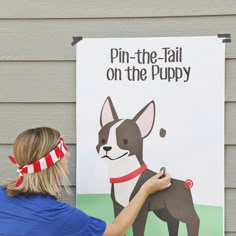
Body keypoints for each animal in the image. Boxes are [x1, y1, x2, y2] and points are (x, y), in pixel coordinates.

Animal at [97, 96, 200, 236]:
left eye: (125, 141)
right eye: (102, 140)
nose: (106, 147)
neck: (124, 173)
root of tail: (185, 183)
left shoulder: (140, 211)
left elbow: (138, 230)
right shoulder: (118, 207)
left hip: (180, 208)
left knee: (193, 219)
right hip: (165, 211)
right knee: (173, 221)